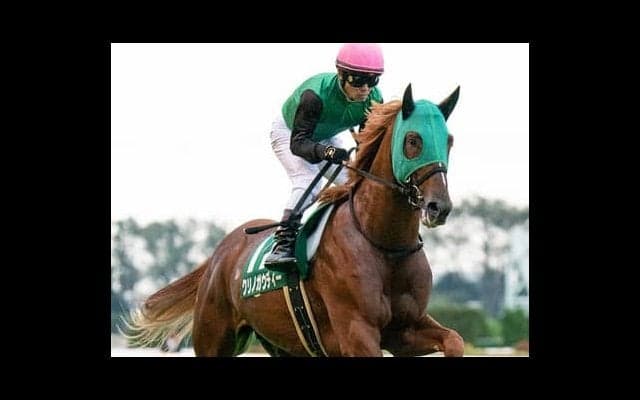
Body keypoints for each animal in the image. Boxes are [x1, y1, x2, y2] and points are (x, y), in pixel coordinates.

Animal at [123, 84, 465, 357]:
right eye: (413, 140)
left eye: (448, 140)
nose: (439, 207)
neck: (383, 242)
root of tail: (221, 251)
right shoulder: (357, 331)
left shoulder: (404, 329)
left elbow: (455, 340)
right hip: (213, 336)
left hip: (282, 342)